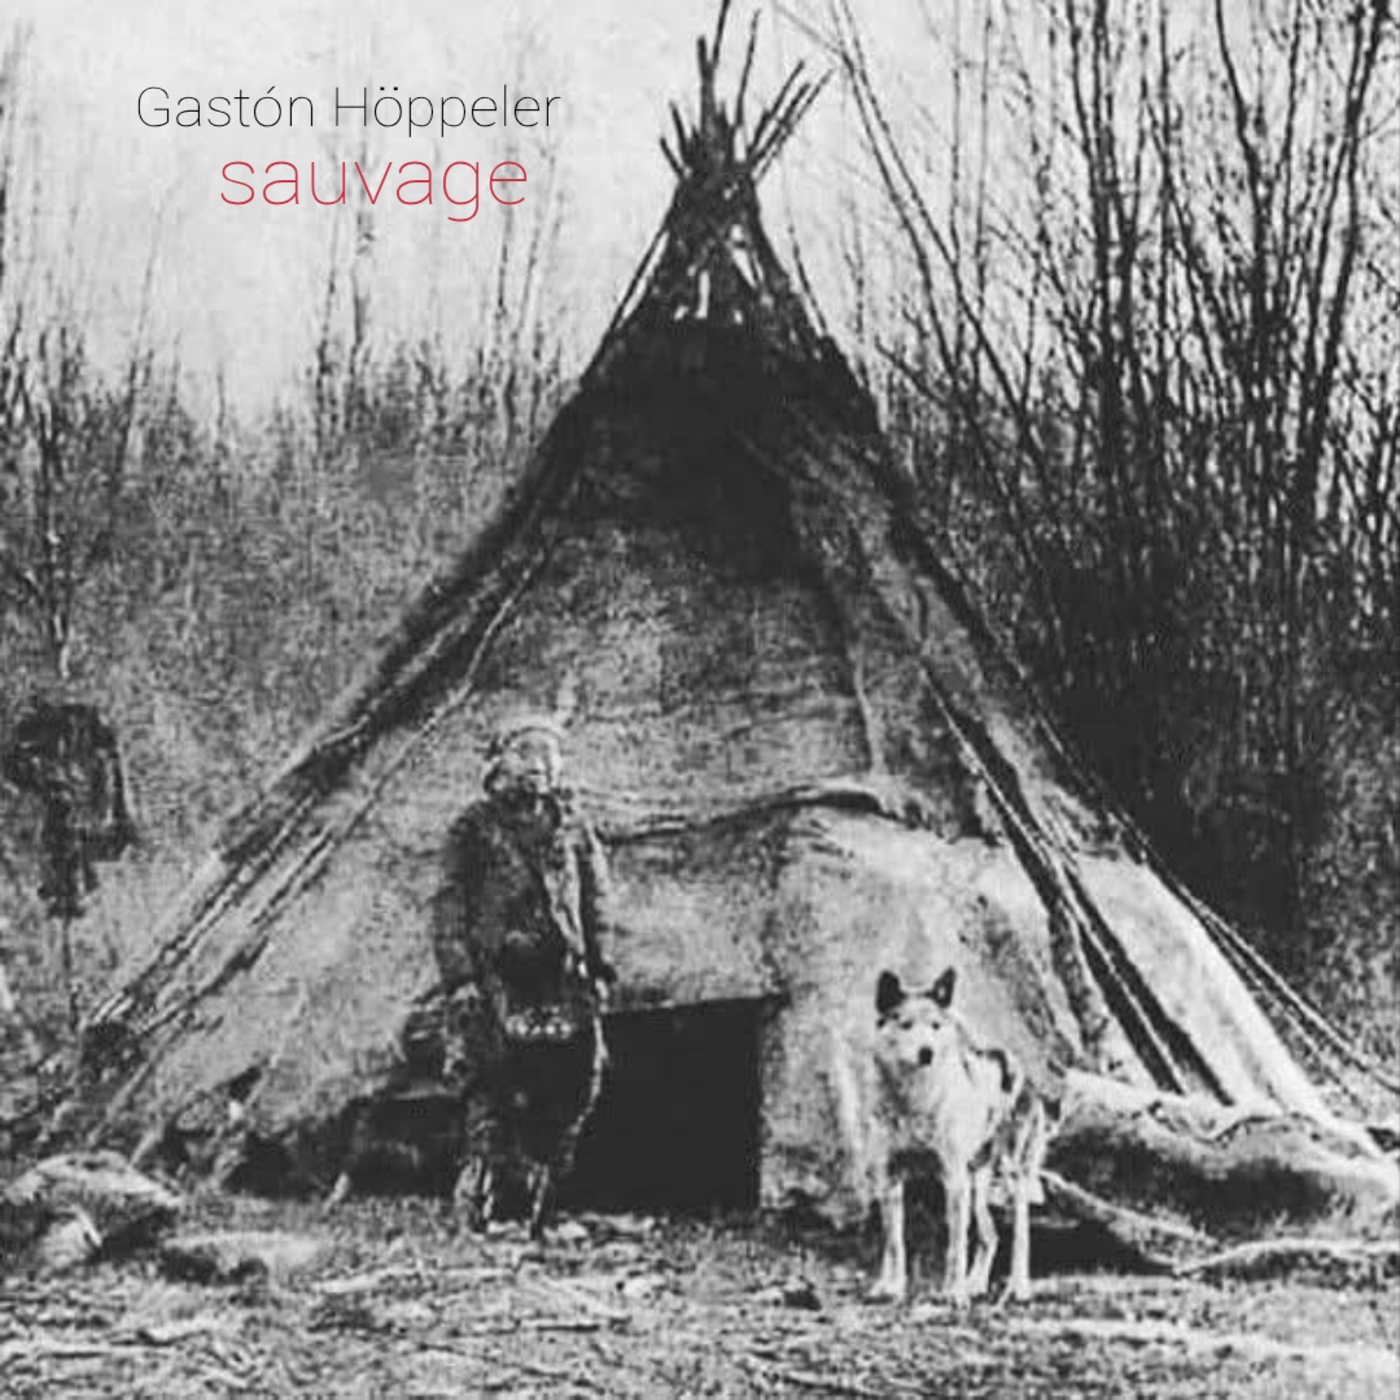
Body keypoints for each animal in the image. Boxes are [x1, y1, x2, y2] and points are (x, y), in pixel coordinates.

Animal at [869, 967, 1051, 1305]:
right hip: (976, 1182)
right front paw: (892, 1288)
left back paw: (1018, 1287)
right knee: (990, 1236)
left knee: (1020, 1235)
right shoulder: (890, 1178)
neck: (915, 1102)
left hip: (1010, 1176)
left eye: (935, 1026)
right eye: (906, 1024)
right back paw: (976, 1284)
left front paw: (954, 1294)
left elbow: (955, 1247)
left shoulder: (952, 1180)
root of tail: (1015, 1062)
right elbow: (894, 1243)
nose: (926, 1052)